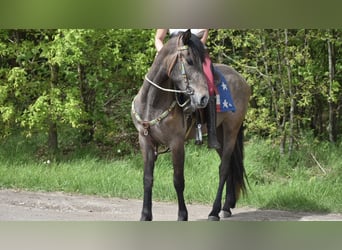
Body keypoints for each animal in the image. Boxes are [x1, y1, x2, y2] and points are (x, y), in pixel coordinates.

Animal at [131, 29, 251, 221]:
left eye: (202, 63)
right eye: (189, 61)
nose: (203, 98)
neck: (153, 103)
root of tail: (242, 80)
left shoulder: (177, 143)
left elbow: (178, 180)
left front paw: (182, 215)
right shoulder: (145, 141)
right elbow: (147, 179)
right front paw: (145, 215)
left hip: (231, 131)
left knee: (224, 169)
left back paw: (214, 212)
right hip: (219, 134)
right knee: (231, 167)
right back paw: (226, 207)